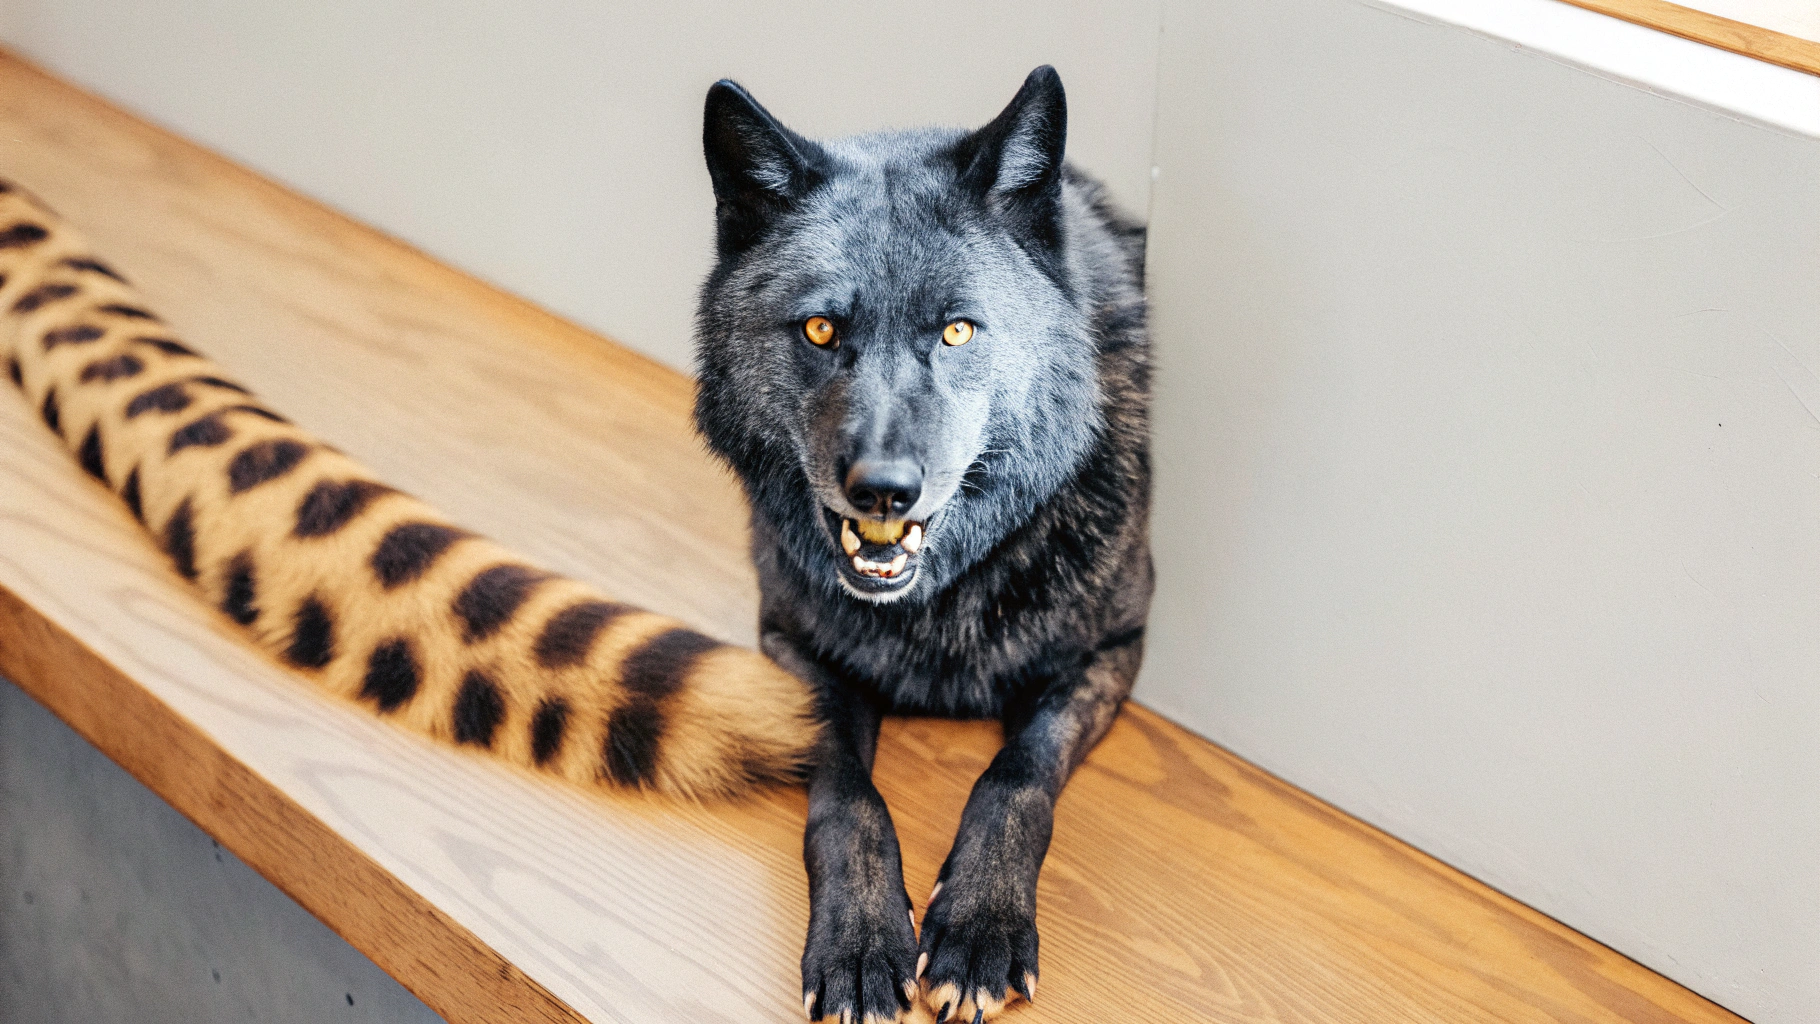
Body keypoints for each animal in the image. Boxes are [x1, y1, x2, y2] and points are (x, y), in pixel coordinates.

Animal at [694, 66, 1153, 1024]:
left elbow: (1017, 772)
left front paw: (978, 928)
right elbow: (845, 790)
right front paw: (862, 940)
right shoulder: (788, 641)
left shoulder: (1113, 650)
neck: (937, 605)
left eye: (957, 331)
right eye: (821, 330)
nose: (883, 490)